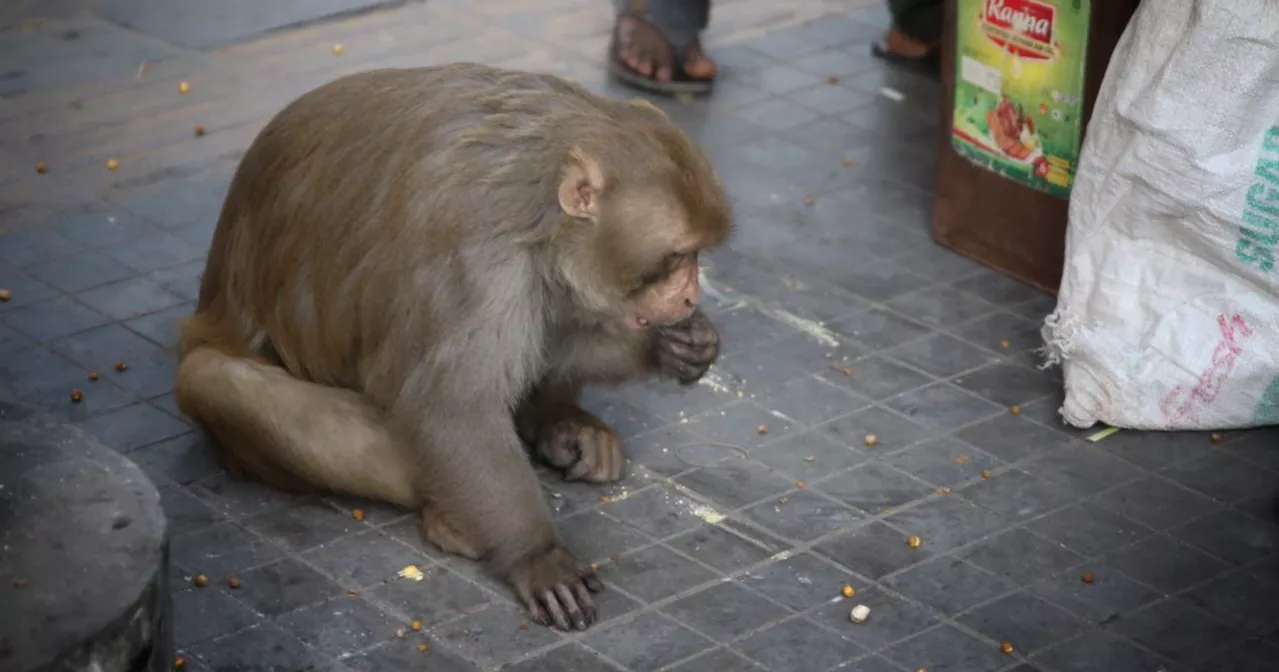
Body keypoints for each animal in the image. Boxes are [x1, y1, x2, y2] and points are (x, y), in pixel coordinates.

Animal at [173, 63, 731, 632]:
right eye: (676, 256)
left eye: (696, 255)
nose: (691, 294)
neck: (537, 202)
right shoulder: (471, 262)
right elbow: (451, 407)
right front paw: (535, 554)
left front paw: (674, 349)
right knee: (214, 380)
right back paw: (451, 516)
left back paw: (558, 422)